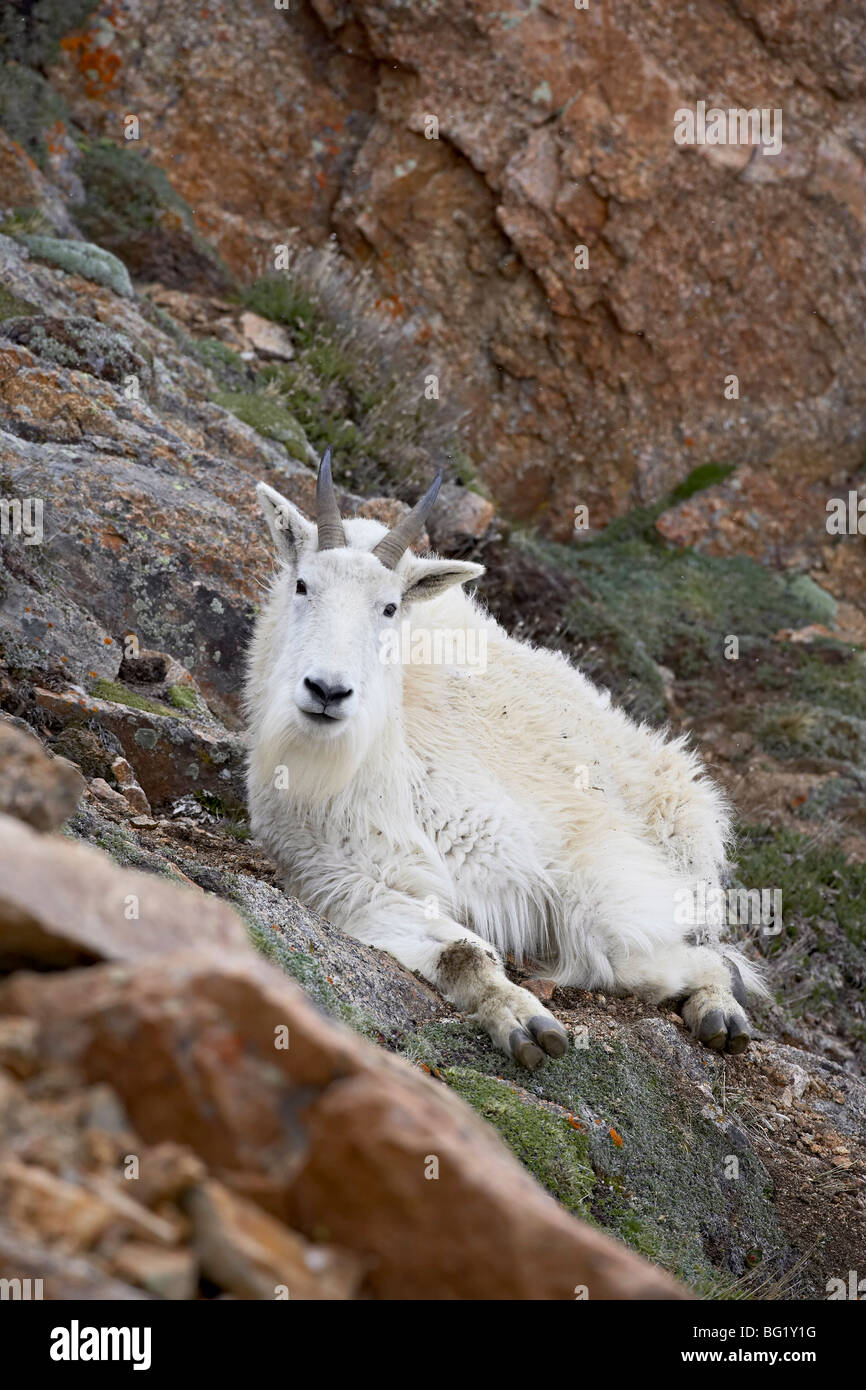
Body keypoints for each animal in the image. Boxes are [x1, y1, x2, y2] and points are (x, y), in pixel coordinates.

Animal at [246, 450, 767, 1067]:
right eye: (303, 584)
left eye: (390, 607)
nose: (327, 690)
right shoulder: (342, 881)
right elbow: (462, 952)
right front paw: (524, 1024)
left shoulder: (576, 858)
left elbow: (619, 950)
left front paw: (718, 998)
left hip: (683, 834)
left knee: (703, 941)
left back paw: (721, 1011)